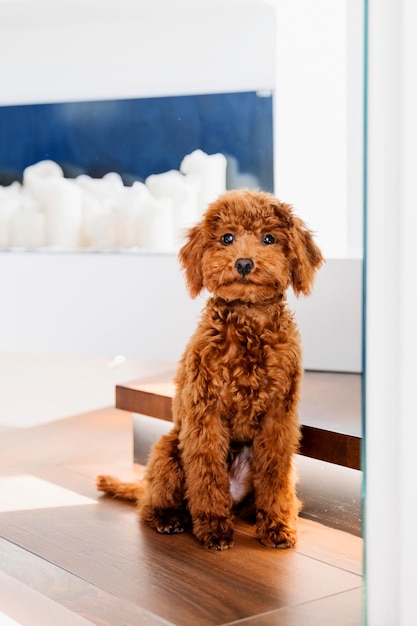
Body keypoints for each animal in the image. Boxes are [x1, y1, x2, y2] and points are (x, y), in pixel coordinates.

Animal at [96, 188, 322, 548]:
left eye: (269, 238)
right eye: (227, 238)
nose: (243, 263)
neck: (247, 324)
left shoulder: (279, 417)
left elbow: (275, 474)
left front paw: (276, 526)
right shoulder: (206, 412)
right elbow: (207, 475)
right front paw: (214, 527)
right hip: (169, 447)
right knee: (150, 503)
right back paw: (168, 518)